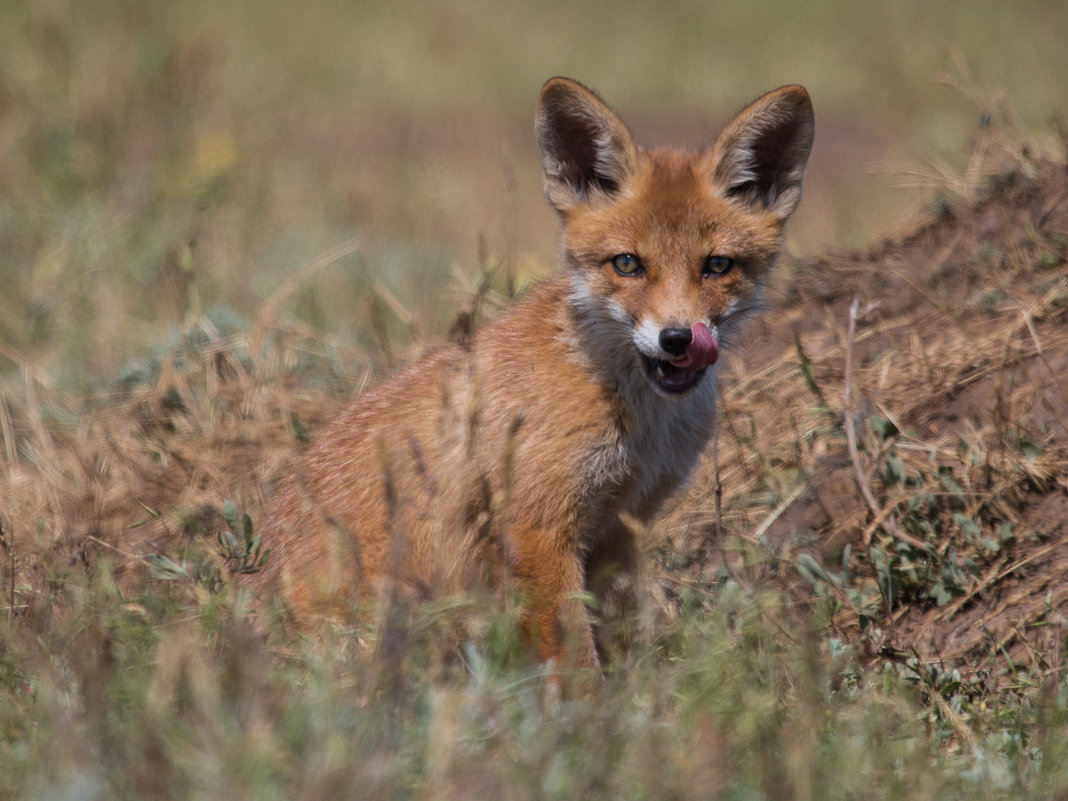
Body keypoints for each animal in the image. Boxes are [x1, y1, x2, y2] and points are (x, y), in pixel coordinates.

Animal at [252, 76, 815, 670]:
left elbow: (617, 642)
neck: (640, 423)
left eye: (717, 266)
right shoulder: (538, 528)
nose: (678, 338)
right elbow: (576, 660)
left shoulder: (620, 528)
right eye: (627, 264)